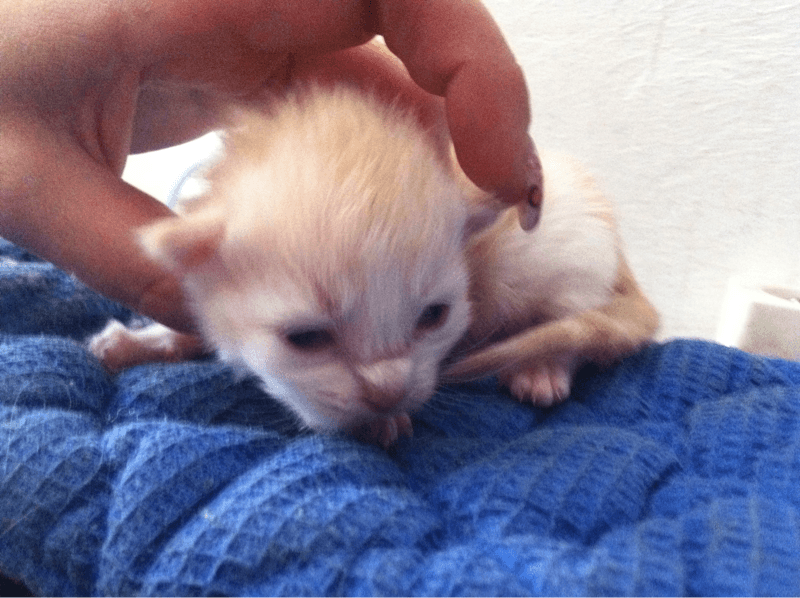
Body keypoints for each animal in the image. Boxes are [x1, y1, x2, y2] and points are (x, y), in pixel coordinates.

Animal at [90, 85, 658, 446]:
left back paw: (542, 368)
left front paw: (381, 423)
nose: (387, 393)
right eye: (307, 338)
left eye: (433, 317)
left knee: (578, 321)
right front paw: (141, 342)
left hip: (567, 248)